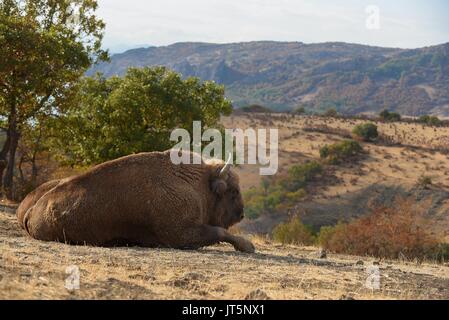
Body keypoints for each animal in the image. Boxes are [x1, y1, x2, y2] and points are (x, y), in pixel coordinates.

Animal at [17, 151, 254, 254]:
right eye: (233, 191)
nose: (241, 214)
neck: (199, 183)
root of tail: (32, 210)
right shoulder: (182, 233)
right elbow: (219, 232)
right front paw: (248, 246)